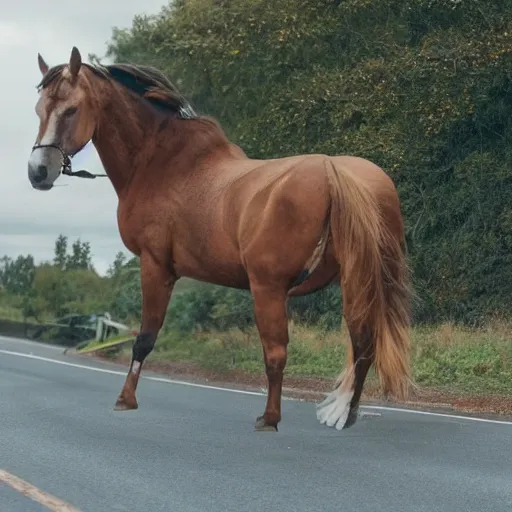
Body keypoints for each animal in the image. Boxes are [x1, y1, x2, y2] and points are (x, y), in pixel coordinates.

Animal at [27, 47, 412, 432]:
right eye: (39, 109)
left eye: (72, 109)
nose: (38, 172)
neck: (160, 162)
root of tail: (335, 173)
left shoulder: (155, 265)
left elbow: (145, 338)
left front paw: (125, 399)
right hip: (356, 283)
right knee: (363, 343)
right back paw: (345, 415)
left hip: (269, 289)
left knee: (278, 352)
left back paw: (270, 419)